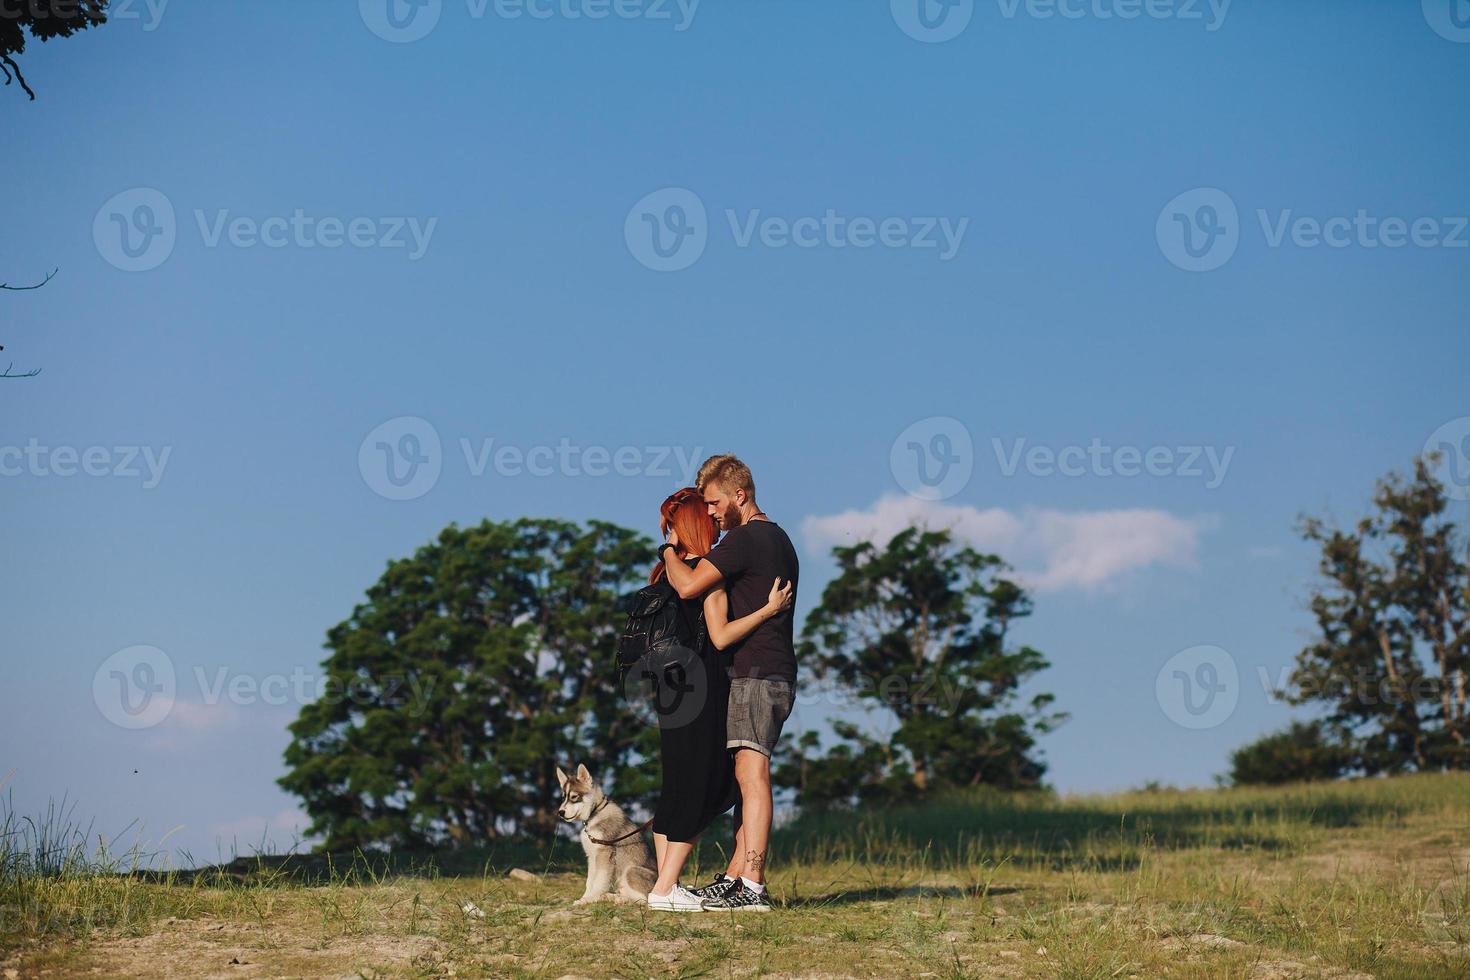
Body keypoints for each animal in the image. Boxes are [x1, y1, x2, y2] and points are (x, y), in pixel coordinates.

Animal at [555, 764, 661, 910]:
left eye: (574, 796)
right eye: (563, 797)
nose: (560, 812)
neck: (595, 813)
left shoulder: (605, 853)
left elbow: (599, 881)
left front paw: (590, 899)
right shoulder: (592, 857)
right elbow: (590, 881)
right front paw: (584, 898)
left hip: (631, 870)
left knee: (644, 900)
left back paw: (620, 900)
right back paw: (611, 897)